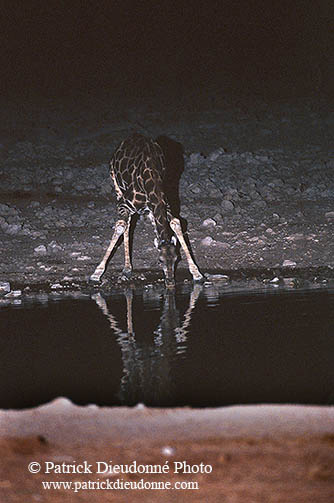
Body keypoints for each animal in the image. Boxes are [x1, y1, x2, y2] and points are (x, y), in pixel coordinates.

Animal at [89, 134, 204, 290]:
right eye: (160, 260)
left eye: (176, 259)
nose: (170, 282)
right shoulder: (124, 203)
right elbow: (120, 225)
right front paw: (96, 274)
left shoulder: (165, 205)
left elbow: (176, 223)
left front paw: (197, 274)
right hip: (117, 187)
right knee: (127, 223)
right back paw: (126, 268)